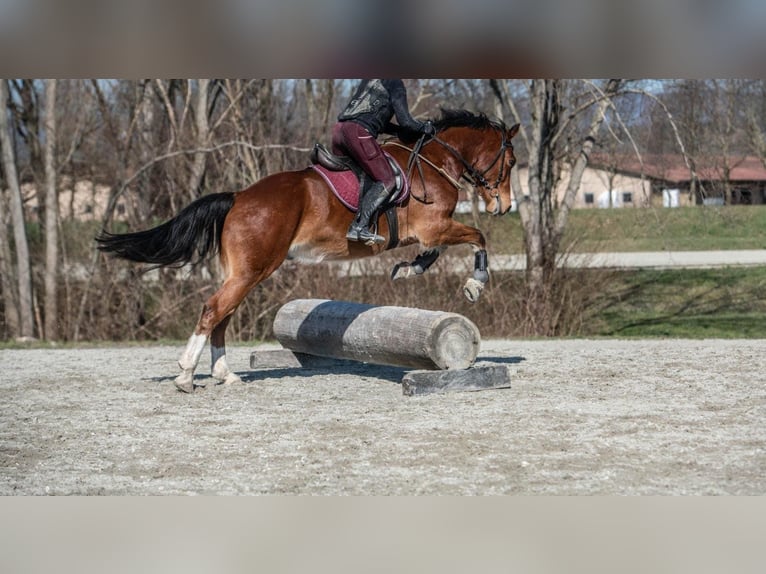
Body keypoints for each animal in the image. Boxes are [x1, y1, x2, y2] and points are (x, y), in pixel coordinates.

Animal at [96, 109, 520, 394]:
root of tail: (239, 196)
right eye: (512, 161)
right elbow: (479, 237)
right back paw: (186, 375)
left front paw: (407, 268)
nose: (505, 206)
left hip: (241, 271)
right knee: (214, 310)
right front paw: (474, 285)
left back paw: (225, 374)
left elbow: (437, 252)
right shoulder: (434, 227)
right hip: (254, 269)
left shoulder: (430, 233)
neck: (435, 161)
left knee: (222, 314)